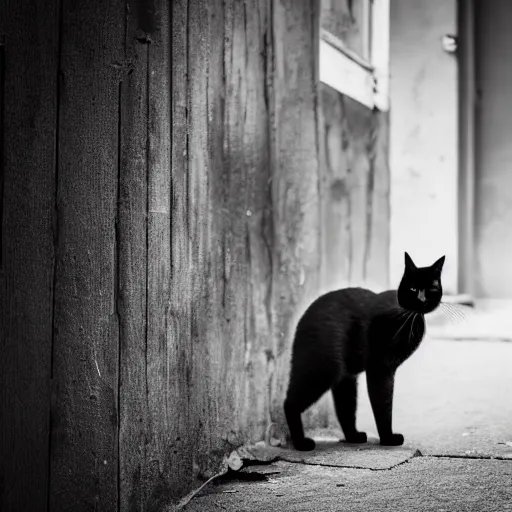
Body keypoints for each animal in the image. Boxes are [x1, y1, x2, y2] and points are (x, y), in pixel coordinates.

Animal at [284, 254, 444, 450]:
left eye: (432, 288)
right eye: (413, 289)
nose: (422, 300)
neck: (410, 317)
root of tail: (303, 320)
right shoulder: (380, 368)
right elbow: (383, 404)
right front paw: (388, 439)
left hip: (345, 377)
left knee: (345, 408)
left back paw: (353, 436)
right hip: (323, 368)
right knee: (290, 402)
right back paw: (301, 443)